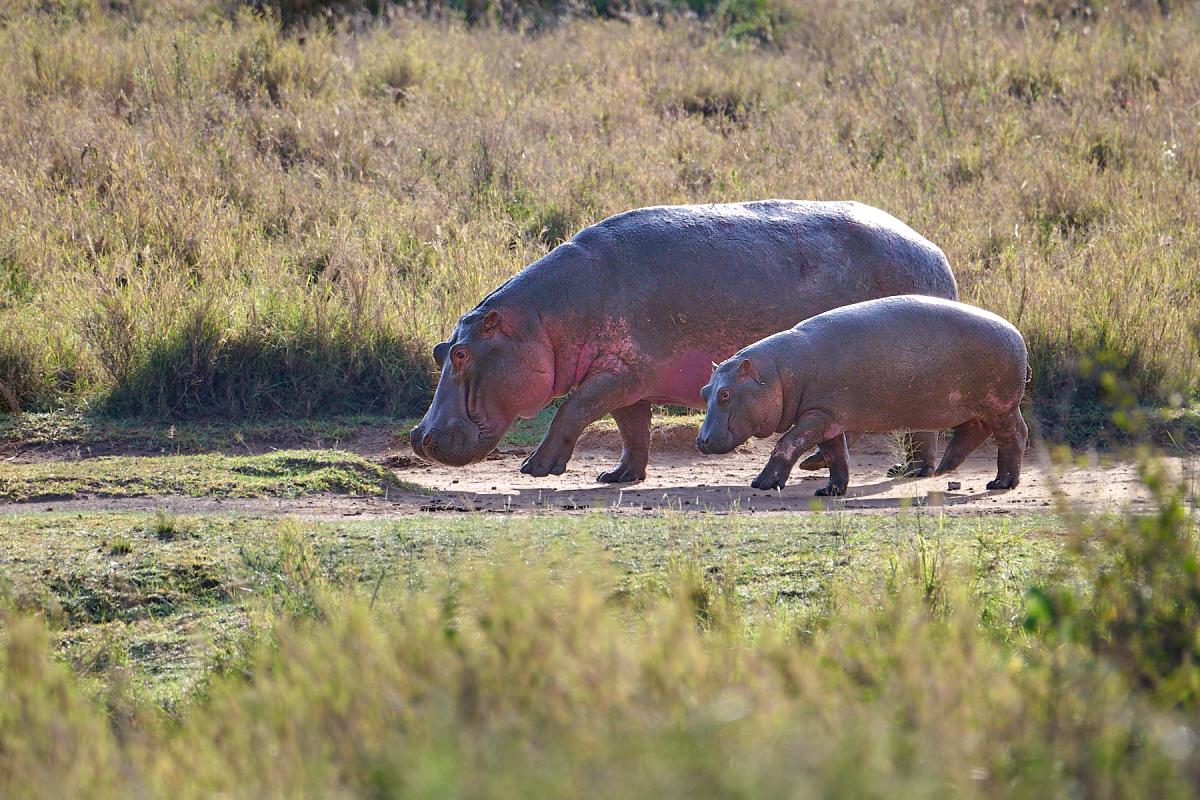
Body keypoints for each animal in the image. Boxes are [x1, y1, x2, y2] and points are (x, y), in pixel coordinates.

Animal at [411, 200, 958, 482]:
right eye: (440, 350)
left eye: (461, 352)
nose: (419, 438)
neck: (541, 320)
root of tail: (934, 250)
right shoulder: (628, 377)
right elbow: (633, 430)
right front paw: (618, 477)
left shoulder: (614, 376)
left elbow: (571, 411)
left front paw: (535, 469)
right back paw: (823, 463)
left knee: (922, 424)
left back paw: (913, 471)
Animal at [696, 295, 1030, 495]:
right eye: (704, 391)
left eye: (725, 394)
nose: (701, 440)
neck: (778, 373)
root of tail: (1017, 334)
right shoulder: (827, 418)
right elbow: (835, 455)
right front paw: (830, 490)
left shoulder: (817, 415)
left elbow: (788, 442)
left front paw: (763, 483)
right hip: (979, 407)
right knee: (974, 431)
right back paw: (947, 467)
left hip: (1002, 406)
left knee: (1014, 435)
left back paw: (1001, 483)